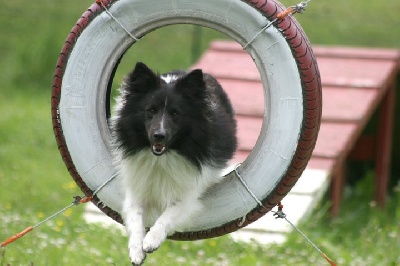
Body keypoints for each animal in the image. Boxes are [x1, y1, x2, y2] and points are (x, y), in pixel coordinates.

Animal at [111, 61, 236, 264]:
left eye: (176, 113)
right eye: (151, 110)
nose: (159, 136)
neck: (162, 157)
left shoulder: (188, 192)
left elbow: (169, 213)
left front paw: (151, 240)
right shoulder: (137, 186)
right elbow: (135, 215)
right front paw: (136, 250)